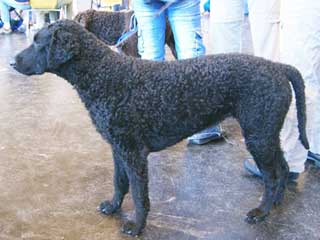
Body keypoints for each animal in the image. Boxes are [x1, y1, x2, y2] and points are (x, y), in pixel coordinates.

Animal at [13, 20, 308, 236]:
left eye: (38, 42)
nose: (12, 62)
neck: (104, 74)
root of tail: (277, 67)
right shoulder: (118, 149)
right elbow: (119, 183)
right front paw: (113, 206)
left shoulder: (134, 153)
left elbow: (139, 194)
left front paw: (136, 226)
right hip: (267, 134)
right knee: (283, 168)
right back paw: (277, 202)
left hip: (258, 135)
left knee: (271, 176)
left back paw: (262, 211)